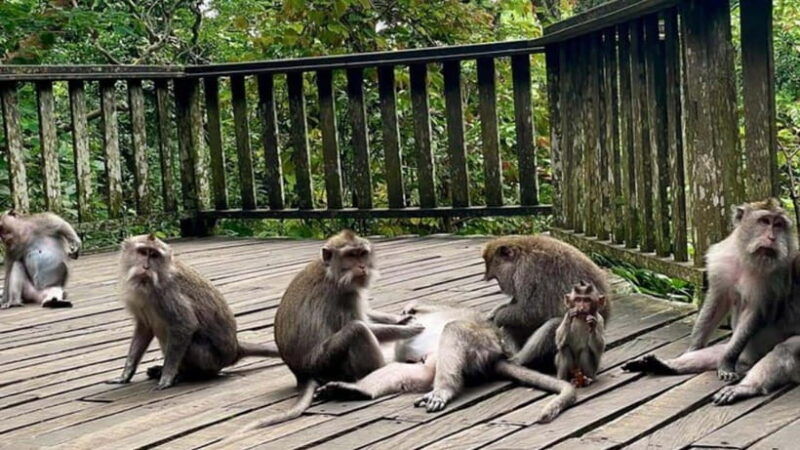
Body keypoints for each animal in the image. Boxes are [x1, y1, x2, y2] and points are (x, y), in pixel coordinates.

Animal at [108, 234, 279, 390]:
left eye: (154, 255)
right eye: (143, 252)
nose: (146, 267)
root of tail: (235, 348)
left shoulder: (168, 293)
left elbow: (185, 325)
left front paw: (167, 377)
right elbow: (144, 328)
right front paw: (126, 374)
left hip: (211, 359)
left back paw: (188, 374)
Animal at [231, 230, 424, 435]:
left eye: (362, 253)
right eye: (350, 255)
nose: (362, 266)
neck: (331, 271)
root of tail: (302, 373)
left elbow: (369, 315)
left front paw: (403, 319)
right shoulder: (344, 295)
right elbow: (364, 324)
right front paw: (410, 329)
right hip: (325, 362)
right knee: (357, 329)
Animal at [317, 301, 577, 423]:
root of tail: (495, 355)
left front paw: (409, 310)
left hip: (480, 344)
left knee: (455, 329)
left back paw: (444, 389)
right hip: (433, 360)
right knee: (410, 372)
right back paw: (356, 390)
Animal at [482, 235, 610, 370]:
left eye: (497, 278)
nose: (501, 287)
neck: (522, 255)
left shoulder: (527, 272)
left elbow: (532, 312)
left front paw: (497, 318)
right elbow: (518, 304)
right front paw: (494, 313)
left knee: (555, 324)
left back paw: (518, 360)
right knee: (512, 325)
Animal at [622, 199, 800, 405]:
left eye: (778, 225)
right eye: (765, 221)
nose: (772, 238)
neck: (745, 259)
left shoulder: (772, 276)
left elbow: (754, 312)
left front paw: (726, 363)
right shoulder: (722, 262)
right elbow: (717, 302)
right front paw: (693, 348)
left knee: (785, 350)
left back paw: (746, 387)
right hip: (748, 353)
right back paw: (665, 366)